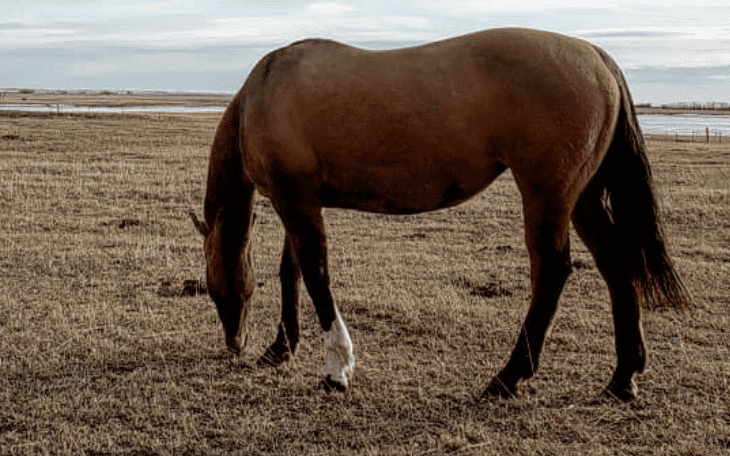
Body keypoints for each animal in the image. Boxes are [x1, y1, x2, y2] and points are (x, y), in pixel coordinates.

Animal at [189, 27, 692, 401]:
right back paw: (623, 378)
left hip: (547, 196)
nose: (234, 343)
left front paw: (337, 368)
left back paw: (508, 377)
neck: (264, 92)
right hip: (580, 199)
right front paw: (281, 349)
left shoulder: (295, 201)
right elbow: (291, 272)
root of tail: (596, 57)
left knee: (551, 272)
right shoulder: (298, 202)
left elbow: (315, 275)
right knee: (615, 265)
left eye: (213, 288)